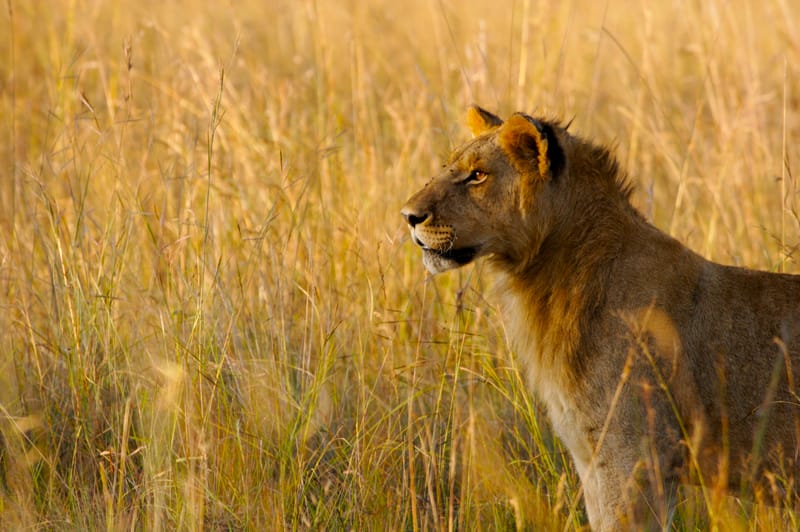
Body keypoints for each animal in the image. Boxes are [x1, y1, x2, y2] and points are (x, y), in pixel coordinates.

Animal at [401, 106, 800, 530]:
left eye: (477, 175)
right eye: (450, 166)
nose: (408, 216)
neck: (551, 285)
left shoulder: (633, 459)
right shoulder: (591, 459)